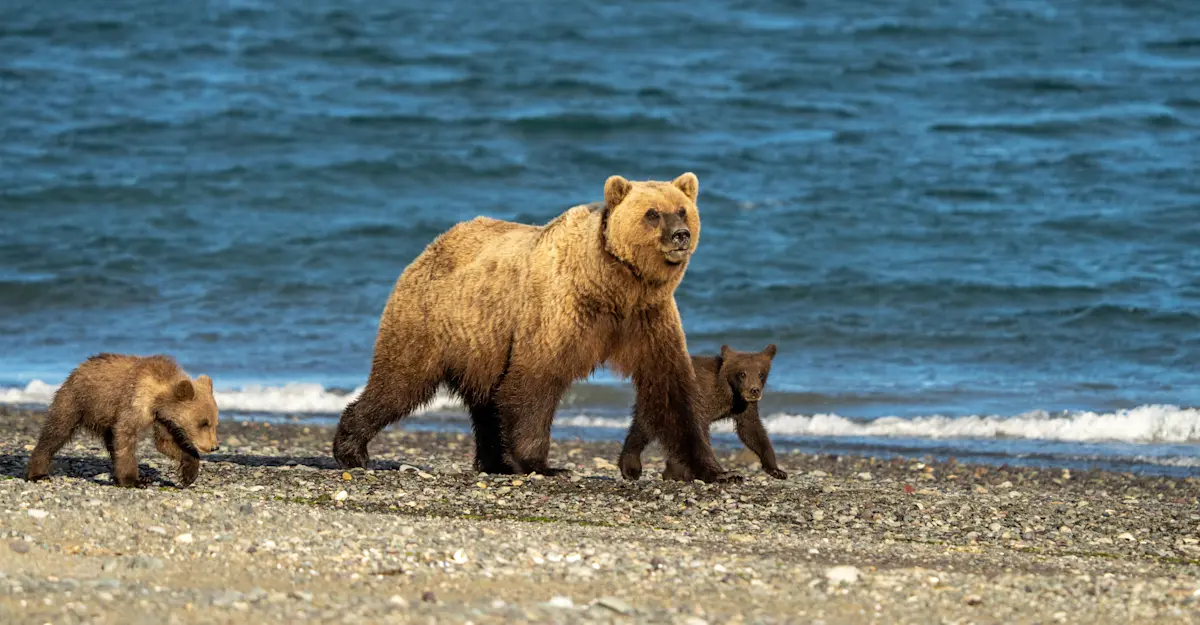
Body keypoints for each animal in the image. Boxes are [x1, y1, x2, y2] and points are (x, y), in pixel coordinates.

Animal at [25, 353, 221, 488]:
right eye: (203, 422)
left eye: (214, 423)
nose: (214, 447)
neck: (157, 396)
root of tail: (77, 369)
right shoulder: (134, 402)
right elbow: (125, 436)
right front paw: (134, 480)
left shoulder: (162, 419)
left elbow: (167, 443)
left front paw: (189, 474)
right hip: (75, 400)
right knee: (56, 432)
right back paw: (38, 473)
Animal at [332, 172, 740, 483]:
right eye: (652, 213)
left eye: (682, 209)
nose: (681, 234)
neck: (614, 285)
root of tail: (430, 246)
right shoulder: (561, 310)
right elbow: (533, 382)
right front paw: (544, 465)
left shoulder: (648, 318)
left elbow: (672, 391)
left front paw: (717, 471)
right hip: (435, 319)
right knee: (400, 382)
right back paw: (352, 449)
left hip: (484, 342)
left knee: (484, 401)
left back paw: (493, 463)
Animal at [618, 344, 785, 481]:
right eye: (742, 374)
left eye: (761, 374)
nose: (754, 390)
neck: (729, 392)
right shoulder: (701, 398)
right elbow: (699, 431)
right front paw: (723, 474)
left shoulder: (743, 406)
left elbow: (751, 430)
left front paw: (776, 470)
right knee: (646, 426)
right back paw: (633, 468)